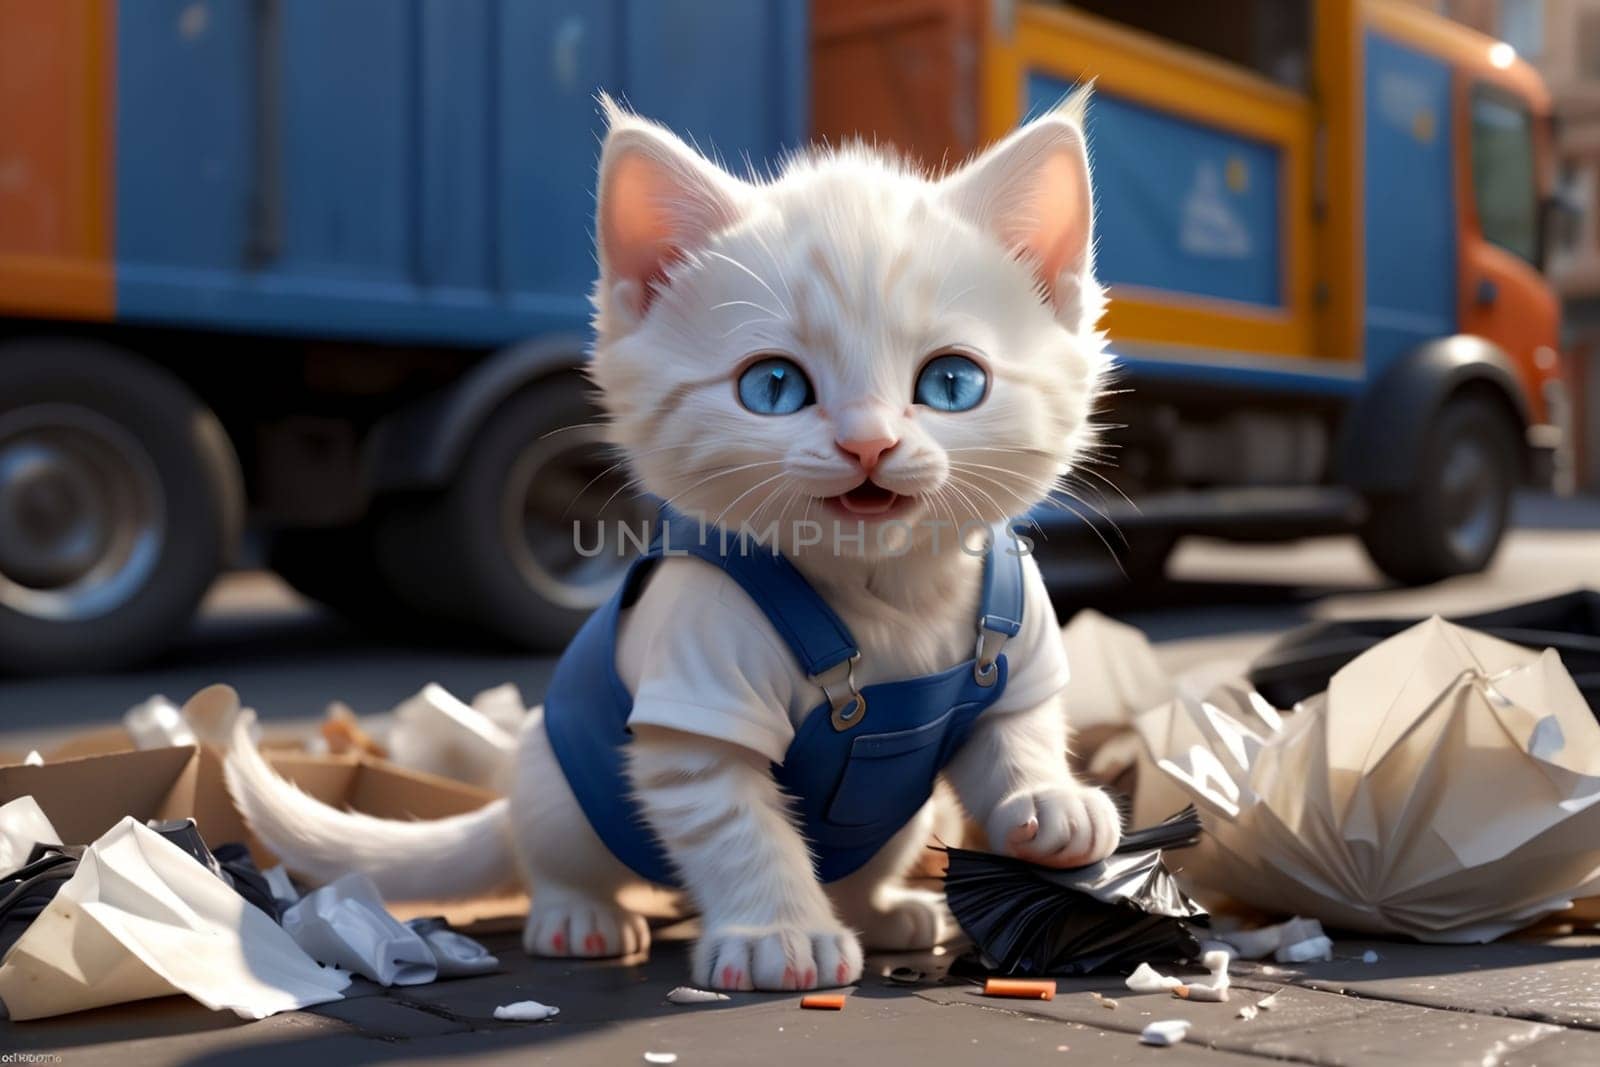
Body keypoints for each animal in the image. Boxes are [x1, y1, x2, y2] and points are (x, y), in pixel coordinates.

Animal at [222, 91, 1126, 991]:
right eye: (774, 386)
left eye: (952, 382)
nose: (867, 443)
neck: (885, 590)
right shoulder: (695, 699)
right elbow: (740, 828)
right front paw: (778, 933)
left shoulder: (1014, 653)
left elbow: (1017, 730)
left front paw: (1050, 803)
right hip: (558, 789)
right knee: (552, 852)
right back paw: (578, 915)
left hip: (896, 818)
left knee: (867, 858)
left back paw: (884, 909)